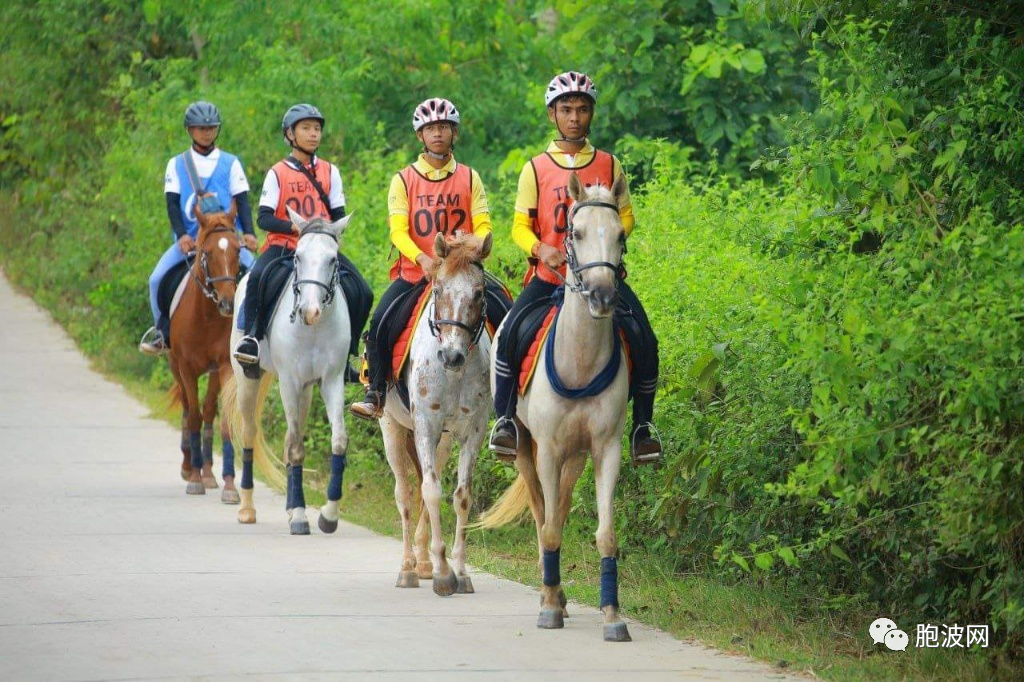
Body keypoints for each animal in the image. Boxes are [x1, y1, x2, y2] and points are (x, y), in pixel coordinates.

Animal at [224, 204, 352, 532]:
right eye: (298, 257)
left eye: (333, 259)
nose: (310, 311)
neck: (313, 330)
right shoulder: (289, 382)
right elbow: (296, 447)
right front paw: (300, 517)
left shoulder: (331, 381)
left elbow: (338, 441)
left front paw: (328, 515)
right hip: (249, 380)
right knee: (249, 433)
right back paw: (247, 508)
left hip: (306, 391)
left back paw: (290, 504)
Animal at [385, 231, 495, 593]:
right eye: (439, 289)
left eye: (478, 292)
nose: (451, 355)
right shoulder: (425, 426)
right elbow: (431, 492)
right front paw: (444, 574)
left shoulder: (472, 432)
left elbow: (461, 497)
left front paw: (459, 571)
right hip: (392, 428)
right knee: (405, 494)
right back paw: (408, 568)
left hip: (443, 441)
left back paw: (422, 563)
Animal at [479, 173, 630, 638]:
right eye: (575, 233)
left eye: (620, 235)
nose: (602, 297)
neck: (579, 359)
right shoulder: (545, 449)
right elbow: (546, 528)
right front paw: (546, 607)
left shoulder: (606, 448)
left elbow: (605, 532)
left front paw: (612, 614)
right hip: (526, 448)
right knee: (542, 510)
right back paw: (551, 596)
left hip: (576, 455)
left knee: (559, 509)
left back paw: (561, 595)